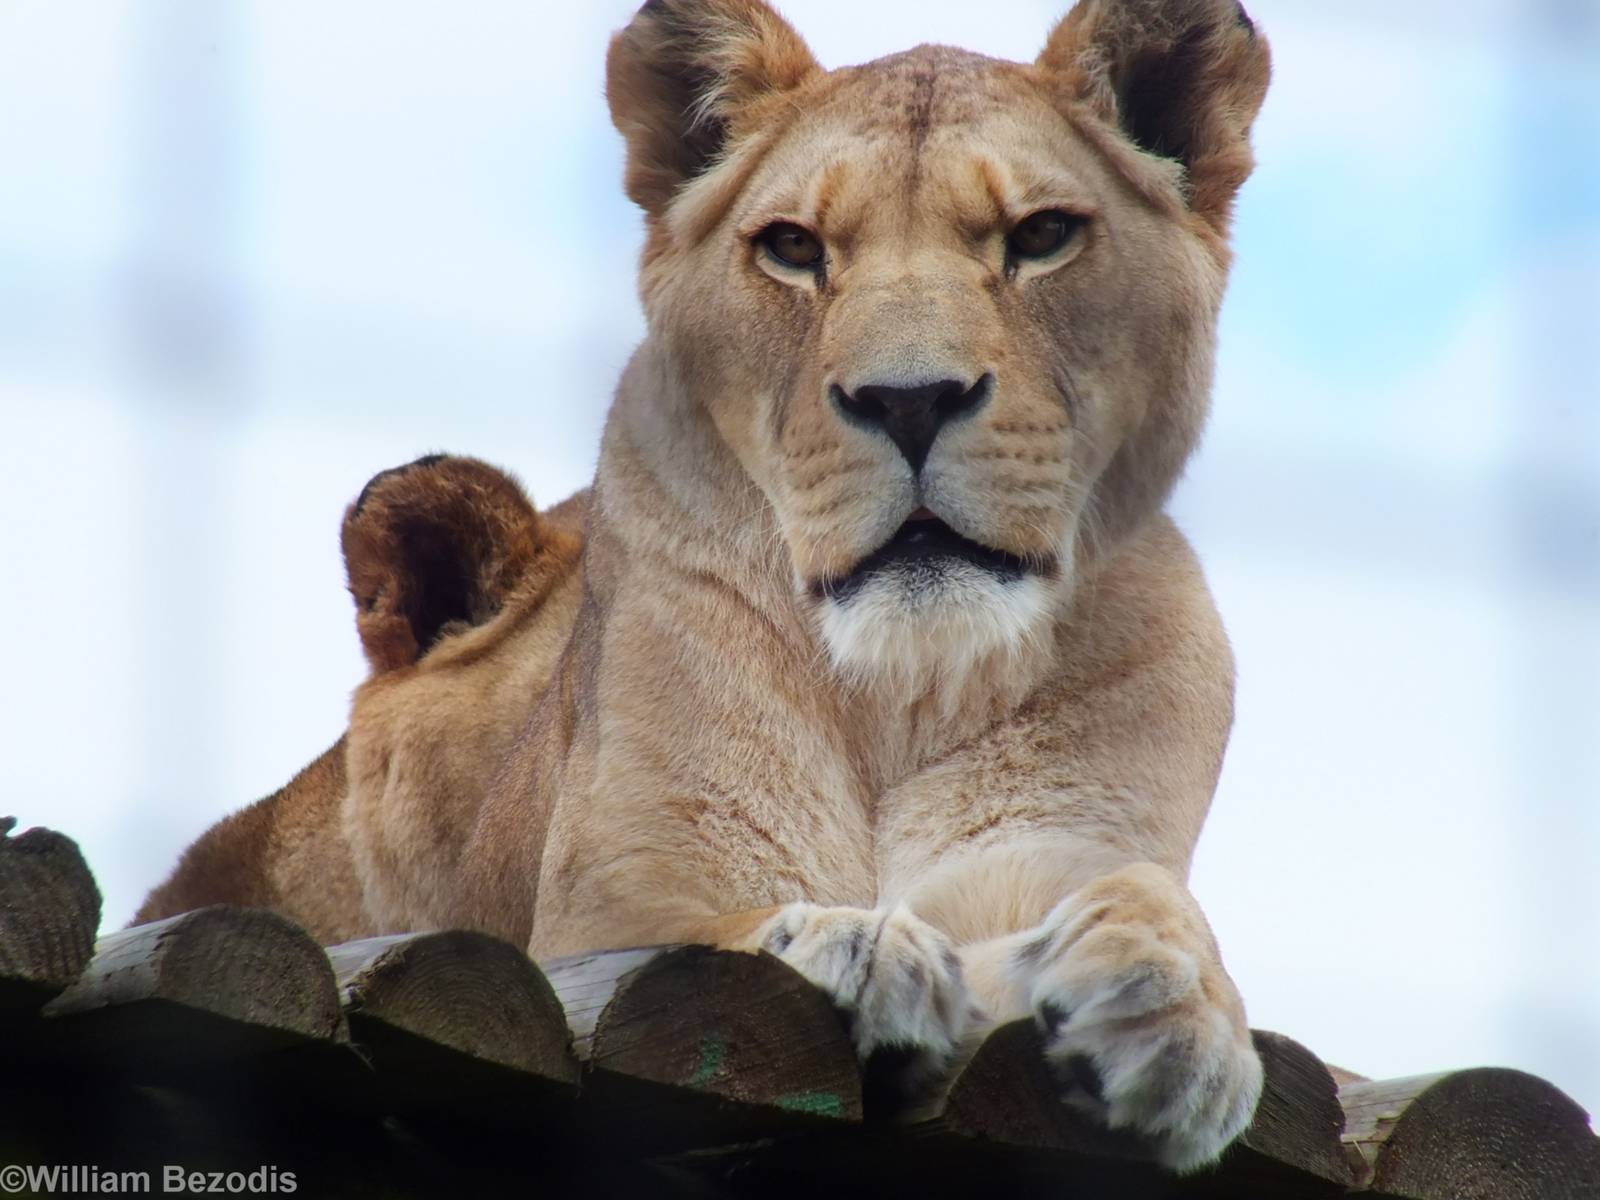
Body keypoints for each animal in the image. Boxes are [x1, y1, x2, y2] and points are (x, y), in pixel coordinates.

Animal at [137, 0, 1273, 1172]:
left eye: (1042, 237)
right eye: (793, 249)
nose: (909, 400)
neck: (900, 696)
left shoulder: (1055, 853)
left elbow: (1131, 900)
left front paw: (1171, 1004)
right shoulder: (603, 918)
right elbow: (721, 939)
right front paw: (857, 945)